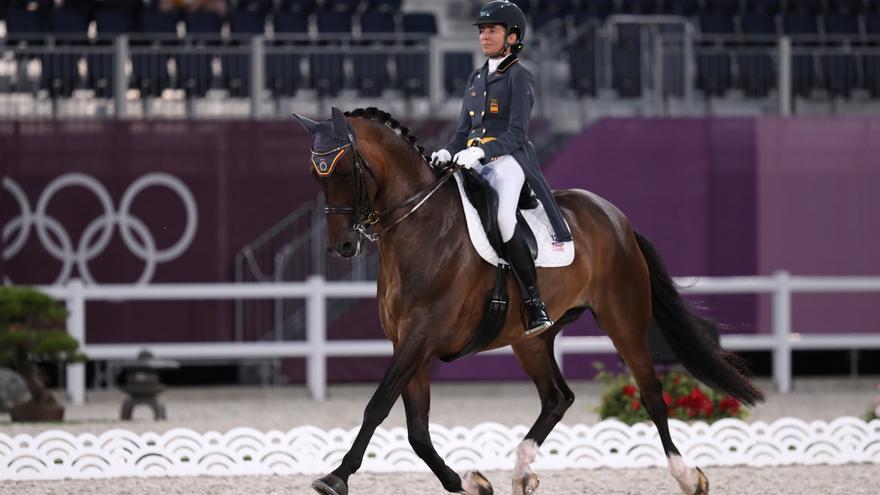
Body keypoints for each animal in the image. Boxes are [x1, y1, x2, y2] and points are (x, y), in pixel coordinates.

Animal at [296, 105, 764, 495]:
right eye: (316, 175)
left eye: (344, 171)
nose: (342, 246)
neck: (422, 225)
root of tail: (618, 219)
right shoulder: (408, 343)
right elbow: (417, 431)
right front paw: (469, 483)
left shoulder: (421, 335)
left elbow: (378, 406)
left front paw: (335, 478)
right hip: (531, 339)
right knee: (557, 397)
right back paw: (521, 471)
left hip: (624, 321)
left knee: (651, 393)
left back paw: (687, 477)